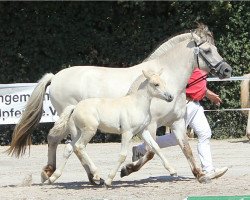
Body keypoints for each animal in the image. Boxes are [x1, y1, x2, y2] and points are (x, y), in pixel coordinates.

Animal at [43, 69, 175, 187]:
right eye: (156, 84)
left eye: (164, 82)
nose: (170, 97)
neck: (136, 104)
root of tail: (75, 107)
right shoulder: (127, 132)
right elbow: (122, 155)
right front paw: (109, 180)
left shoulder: (143, 131)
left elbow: (156, 147)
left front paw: (173, 171)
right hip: (89, 130)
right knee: (80, 147)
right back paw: (96, 176)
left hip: (78, 132)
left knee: (70, 148)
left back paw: (52, 178)